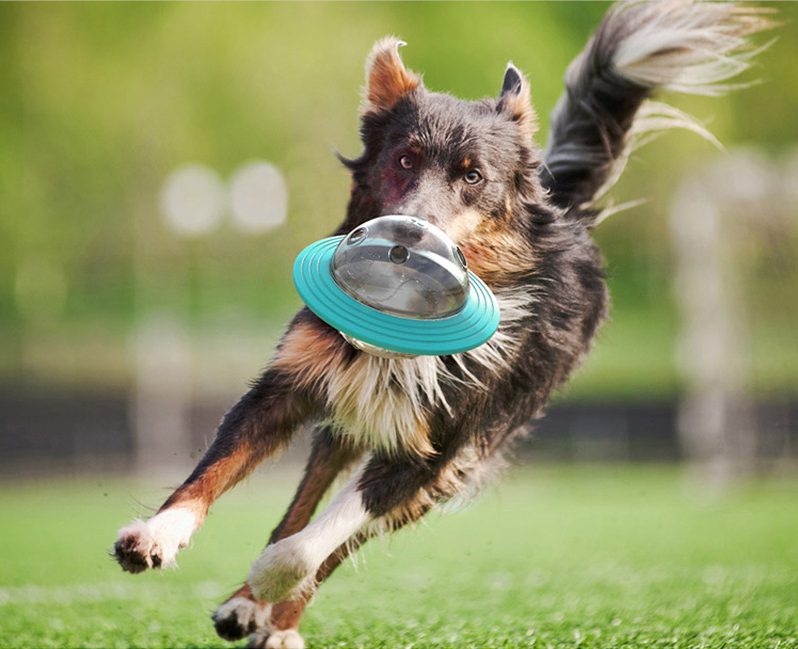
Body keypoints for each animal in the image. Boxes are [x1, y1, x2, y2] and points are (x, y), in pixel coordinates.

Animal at [114, 5, 776, 648]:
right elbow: (217, 469)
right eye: (404, 158)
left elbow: (317, 543)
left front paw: (271, 577)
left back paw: (276, 617)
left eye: (472, 176)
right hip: (347, 426)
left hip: (462, 457)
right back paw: (247, 608)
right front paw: (158, 535)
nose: (406, 235)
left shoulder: (437, 446)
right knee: (306, 499)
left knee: (340, 537)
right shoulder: (290, 384)